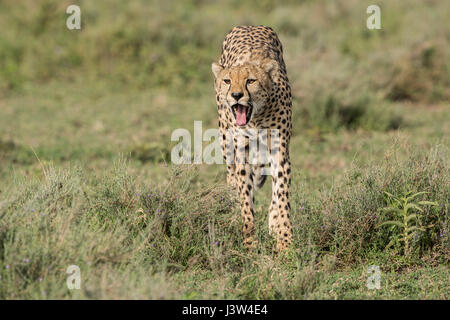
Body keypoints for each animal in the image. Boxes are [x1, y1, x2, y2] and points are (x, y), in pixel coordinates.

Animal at [213, 25, 294, 251]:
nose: (236, 95)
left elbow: (281, 194)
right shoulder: (241, 153)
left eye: (251, 81)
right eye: (227, 81)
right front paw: (249, 240)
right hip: (225, 141)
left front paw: (284, 239)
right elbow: (246, 198)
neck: (256, 117)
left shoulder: (279, 152)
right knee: (231, 177)